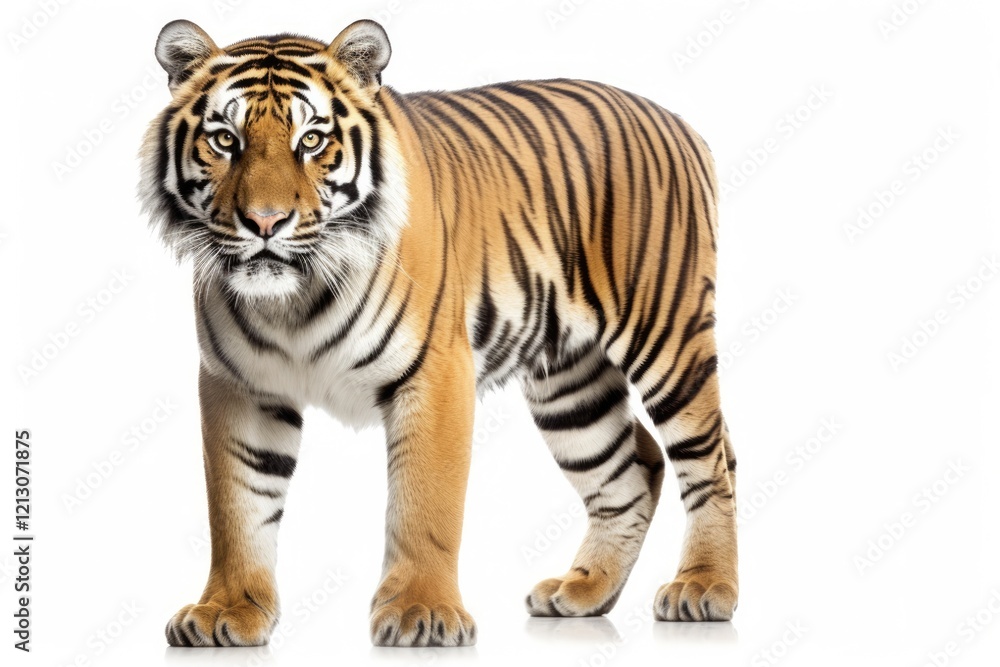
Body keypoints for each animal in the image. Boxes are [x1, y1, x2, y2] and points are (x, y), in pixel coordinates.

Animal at [140, 18, 739, 648]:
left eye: (312, 141)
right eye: (224, 140)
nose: (264, 222)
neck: (293, 300)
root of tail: (678, 121)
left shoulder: (435, 371)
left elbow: (425, 503)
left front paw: (422, 613)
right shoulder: (239, 385)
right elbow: (237, 507)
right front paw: (225, 611)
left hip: (668, 338)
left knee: (710, 461)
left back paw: (705, 588)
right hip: (570, 384)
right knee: (632, 468)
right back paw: (583, 592)